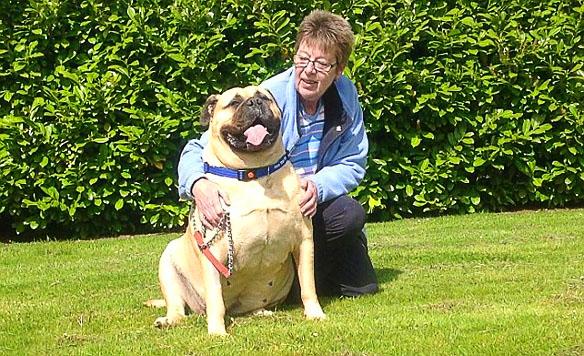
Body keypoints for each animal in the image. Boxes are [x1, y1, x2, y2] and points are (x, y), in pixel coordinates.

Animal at [148, 85, 326, 334]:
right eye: (234, 103)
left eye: (264, 98)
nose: (254, 103)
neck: (254, 172)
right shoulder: (213, 251)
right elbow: (215, 299)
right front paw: (217, 331)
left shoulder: (303, 240)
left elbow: (308, 285)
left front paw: (315, 314)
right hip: (168, 264)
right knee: (178, 307)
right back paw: (168, 320)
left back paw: (262, 312)